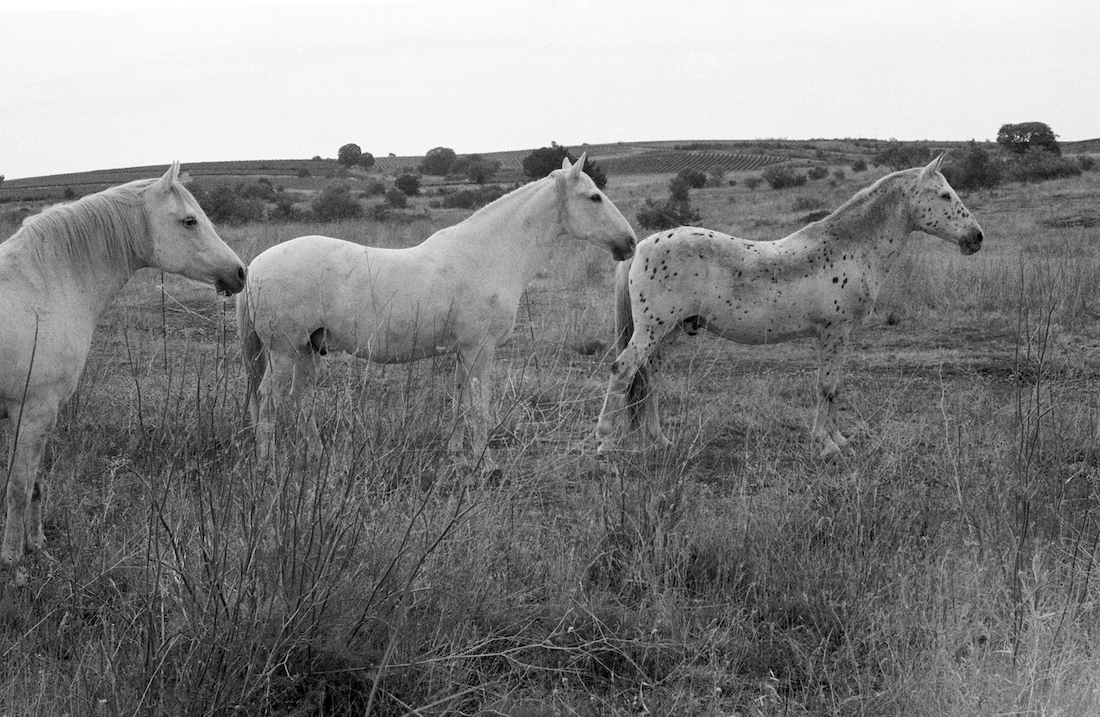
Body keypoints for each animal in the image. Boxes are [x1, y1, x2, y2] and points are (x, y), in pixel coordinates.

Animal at [0, 162, 245, 576]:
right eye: (190, 220)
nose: (240, 273)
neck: (43, 289)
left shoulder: (43, 416)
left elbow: (35, 483)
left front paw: (36, 546)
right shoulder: (30, 412)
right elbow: (18, 487)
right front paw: (13, 564)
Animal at [240, 152, 638, 461]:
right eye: (594, 197)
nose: (630, 243)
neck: (489, 252)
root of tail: (255, 264)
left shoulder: (464, 351)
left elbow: (460, 401)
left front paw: (455, 452)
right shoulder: (480, 349)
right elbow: (479, 406)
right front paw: (485, 465)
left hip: (307, 348)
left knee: (301, 398)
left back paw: (317, 453)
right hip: (285, 351)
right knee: (267, 399)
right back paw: (267, 463)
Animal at [598, 152, 985, 457]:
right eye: (944, 194)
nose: (977, 238)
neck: (852, 246)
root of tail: (642, 246)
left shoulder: (839, 336)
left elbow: (833, 387)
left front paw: (839, 440)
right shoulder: (834, 333)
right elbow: (826, 387)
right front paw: (827, 445)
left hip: (670, 331)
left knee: (650, 377)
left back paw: (660, 440)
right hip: (653, 329)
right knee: (623, 369)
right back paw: (604, 442)